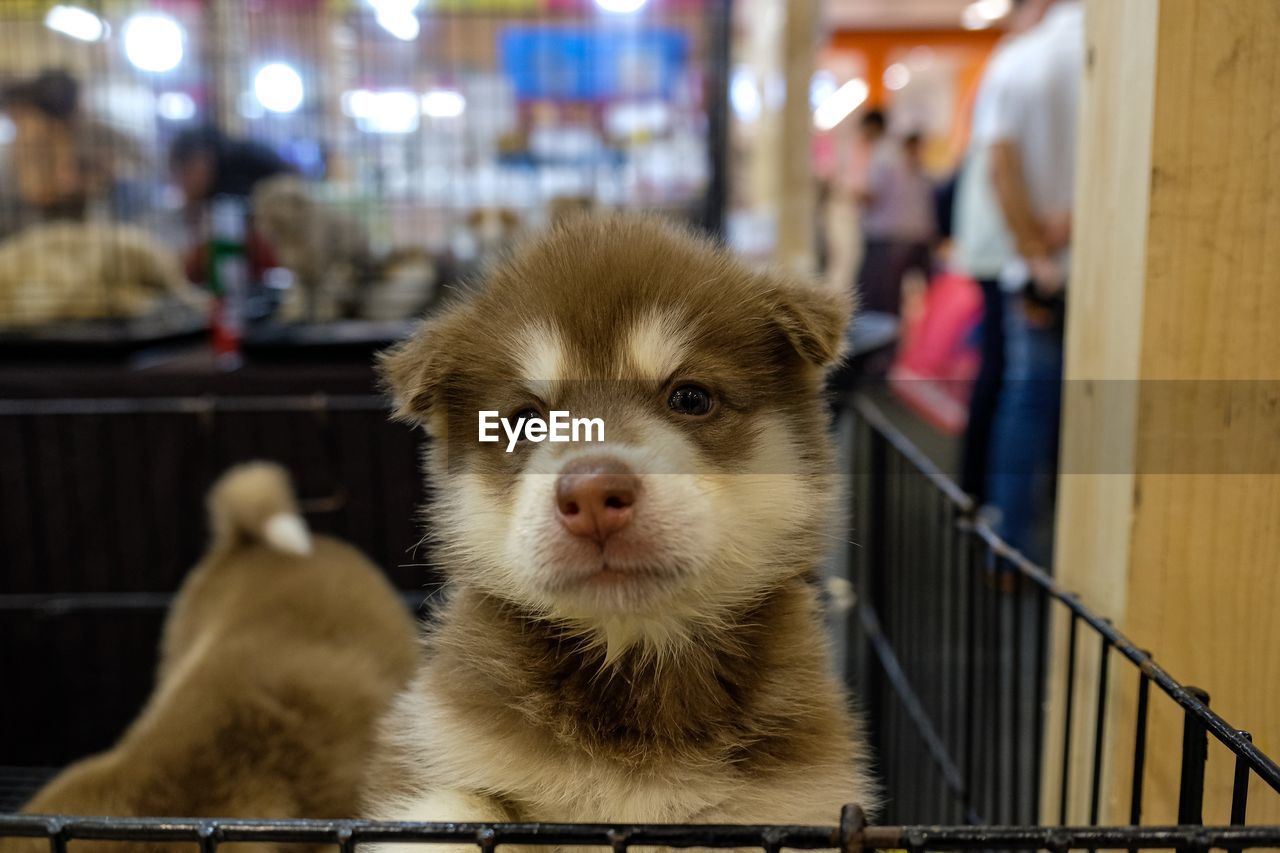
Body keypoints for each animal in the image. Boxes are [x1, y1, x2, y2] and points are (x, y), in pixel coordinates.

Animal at [360, 213, 880, 845]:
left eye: (690, 397)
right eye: (525, 420)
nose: (591, 495)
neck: (633, 654)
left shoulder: (794, 804)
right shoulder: (433, 746)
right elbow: (458, 810)